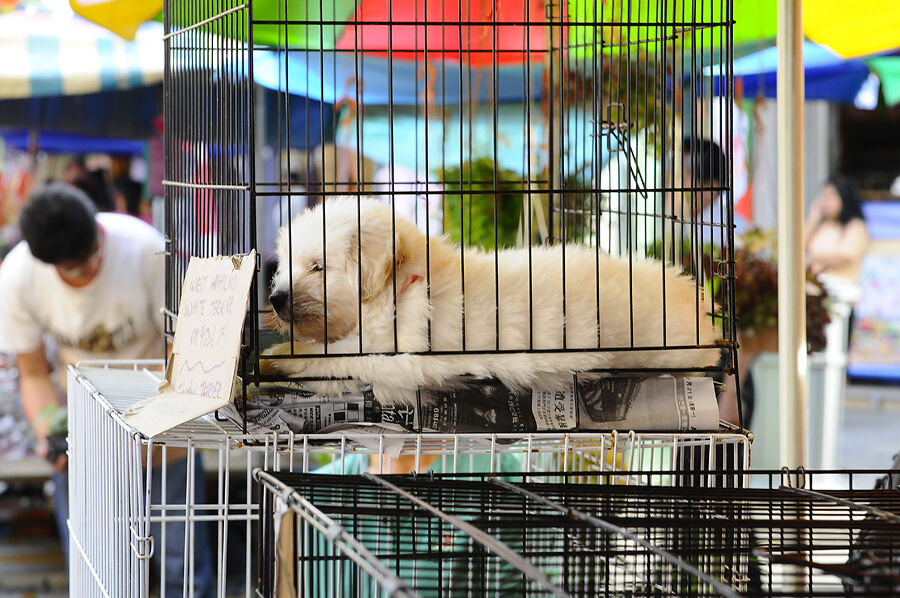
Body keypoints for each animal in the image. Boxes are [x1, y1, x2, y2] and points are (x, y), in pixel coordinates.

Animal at [266, 197, 722, 399]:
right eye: (285, 264)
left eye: (317, 266)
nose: (276, 299)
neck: (399, 285)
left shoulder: (391, 358)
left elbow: (326, 358)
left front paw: (276, 357)